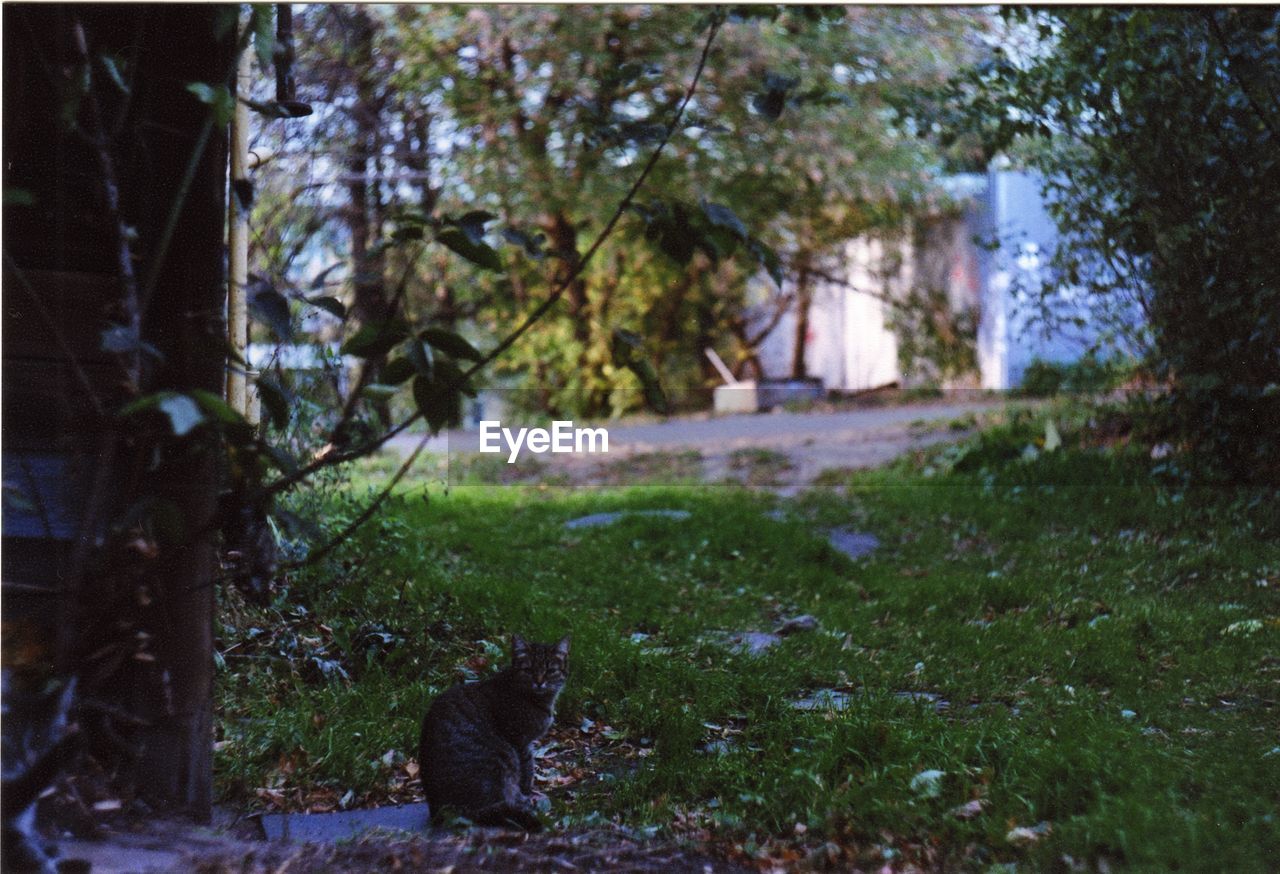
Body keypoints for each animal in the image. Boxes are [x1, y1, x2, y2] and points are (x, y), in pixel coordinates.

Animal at [417, 632, 568, 829]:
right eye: (528, 670)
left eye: (550, 671)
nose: (539, 682)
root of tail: (441, 809)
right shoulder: (519, 740)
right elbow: (527, 768)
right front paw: (527, 793)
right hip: (500, 759)